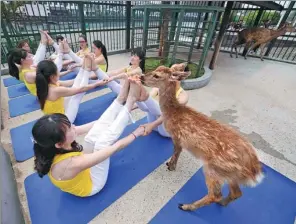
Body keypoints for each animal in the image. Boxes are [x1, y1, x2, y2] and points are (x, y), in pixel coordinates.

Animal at [140, 65, 264, 211]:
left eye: (156, 75)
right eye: (155, 68)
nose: (141, 77)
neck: (173, 112)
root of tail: (253, 166)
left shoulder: (177, 136)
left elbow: (176, 151)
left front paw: (171, 166)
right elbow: (178, 151)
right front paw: (171, 165)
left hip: (214, 168)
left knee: (215, 194)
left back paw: (187, 206)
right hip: (230, 174)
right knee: (237, 193)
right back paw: (222, 203)